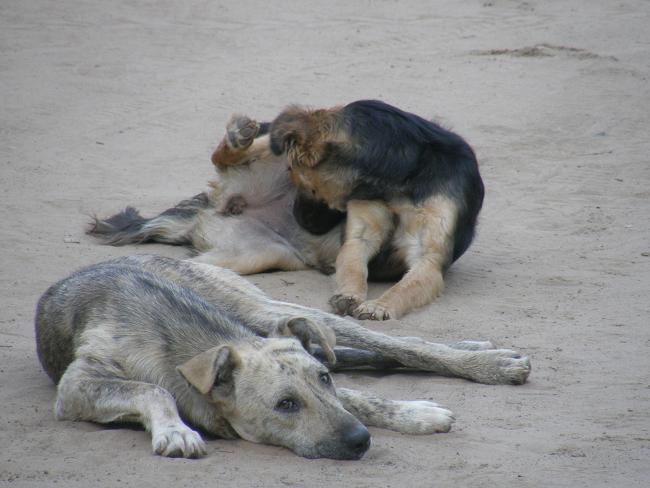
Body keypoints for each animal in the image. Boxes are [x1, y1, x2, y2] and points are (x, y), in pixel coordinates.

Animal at [35, 254, 528, 460]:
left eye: (321, 382)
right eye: (285, 405)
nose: (361, 441)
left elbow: (363, 398)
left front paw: (414, 413)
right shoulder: (76, 387)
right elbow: (152, 390)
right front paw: (175, 430)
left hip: (272, 311)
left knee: (401, 343)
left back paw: (487, 360)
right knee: (368, 353)